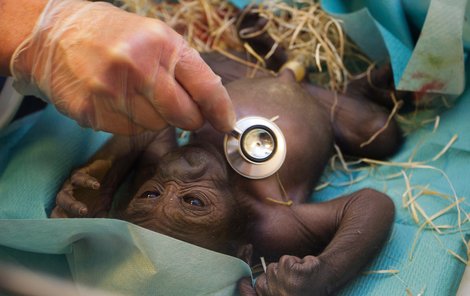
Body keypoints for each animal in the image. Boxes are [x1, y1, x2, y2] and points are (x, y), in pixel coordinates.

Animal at [51, 52, 404, 294]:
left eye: (192, 202)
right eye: (152, 194)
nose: (185, 164)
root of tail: (287, 78)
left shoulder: (158, 156)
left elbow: (145, 127)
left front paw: (84, 193)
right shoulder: (279, 226)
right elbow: (370, 203)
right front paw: (298, 283)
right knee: (379, 129)